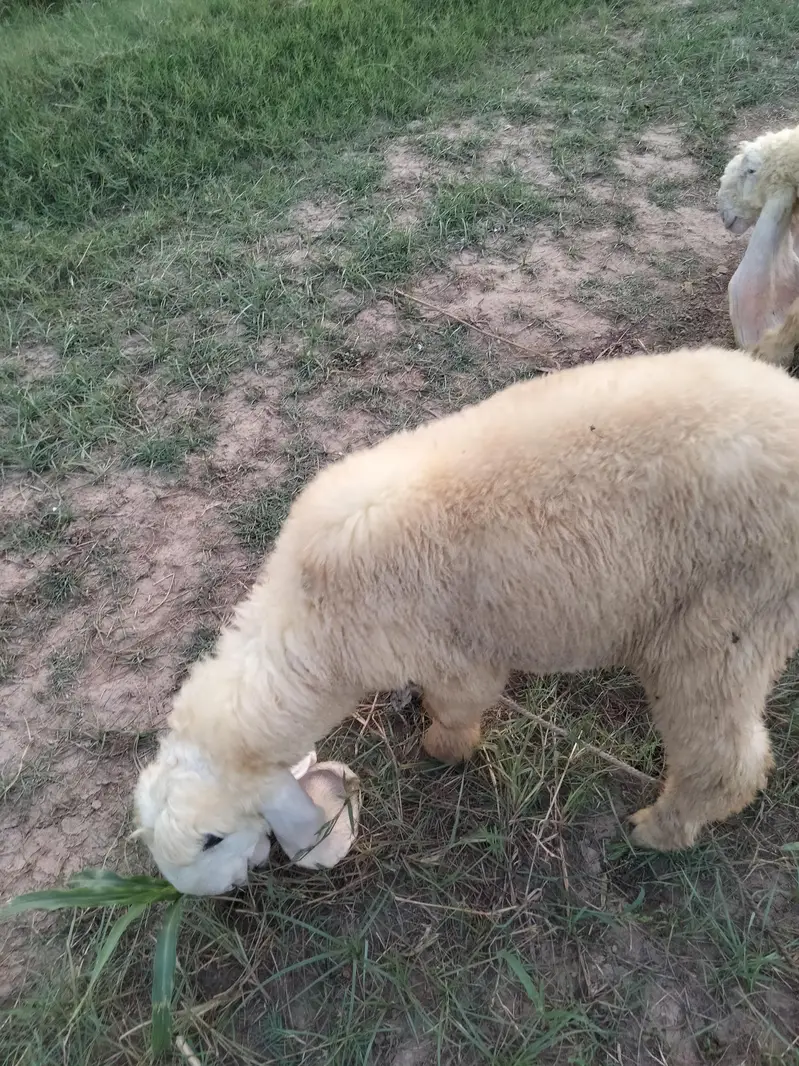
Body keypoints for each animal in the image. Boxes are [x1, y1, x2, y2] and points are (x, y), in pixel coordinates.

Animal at [134, 344, 799, 894]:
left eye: (214, 841)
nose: (236, 886)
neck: (311, 623)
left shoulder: (453, 656)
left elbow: (459, 707)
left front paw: (440, 748)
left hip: (728, 618)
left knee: (724, 757)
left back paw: (658, 829)